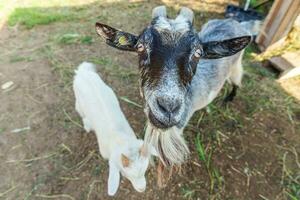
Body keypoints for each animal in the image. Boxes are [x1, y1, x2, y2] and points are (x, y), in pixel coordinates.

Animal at [72, 62, 152, 195]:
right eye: (127, 175)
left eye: (145, 171)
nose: (142, 189)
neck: (119, 139)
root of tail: (82, 72)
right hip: (79, 102)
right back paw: (87, 125)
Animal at [95, 6, 253, 166]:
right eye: (140, 47)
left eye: (198, 53)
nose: (168, 109)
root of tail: (235, 22)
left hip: (236, 67)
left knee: (237, 82)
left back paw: (229, 98)